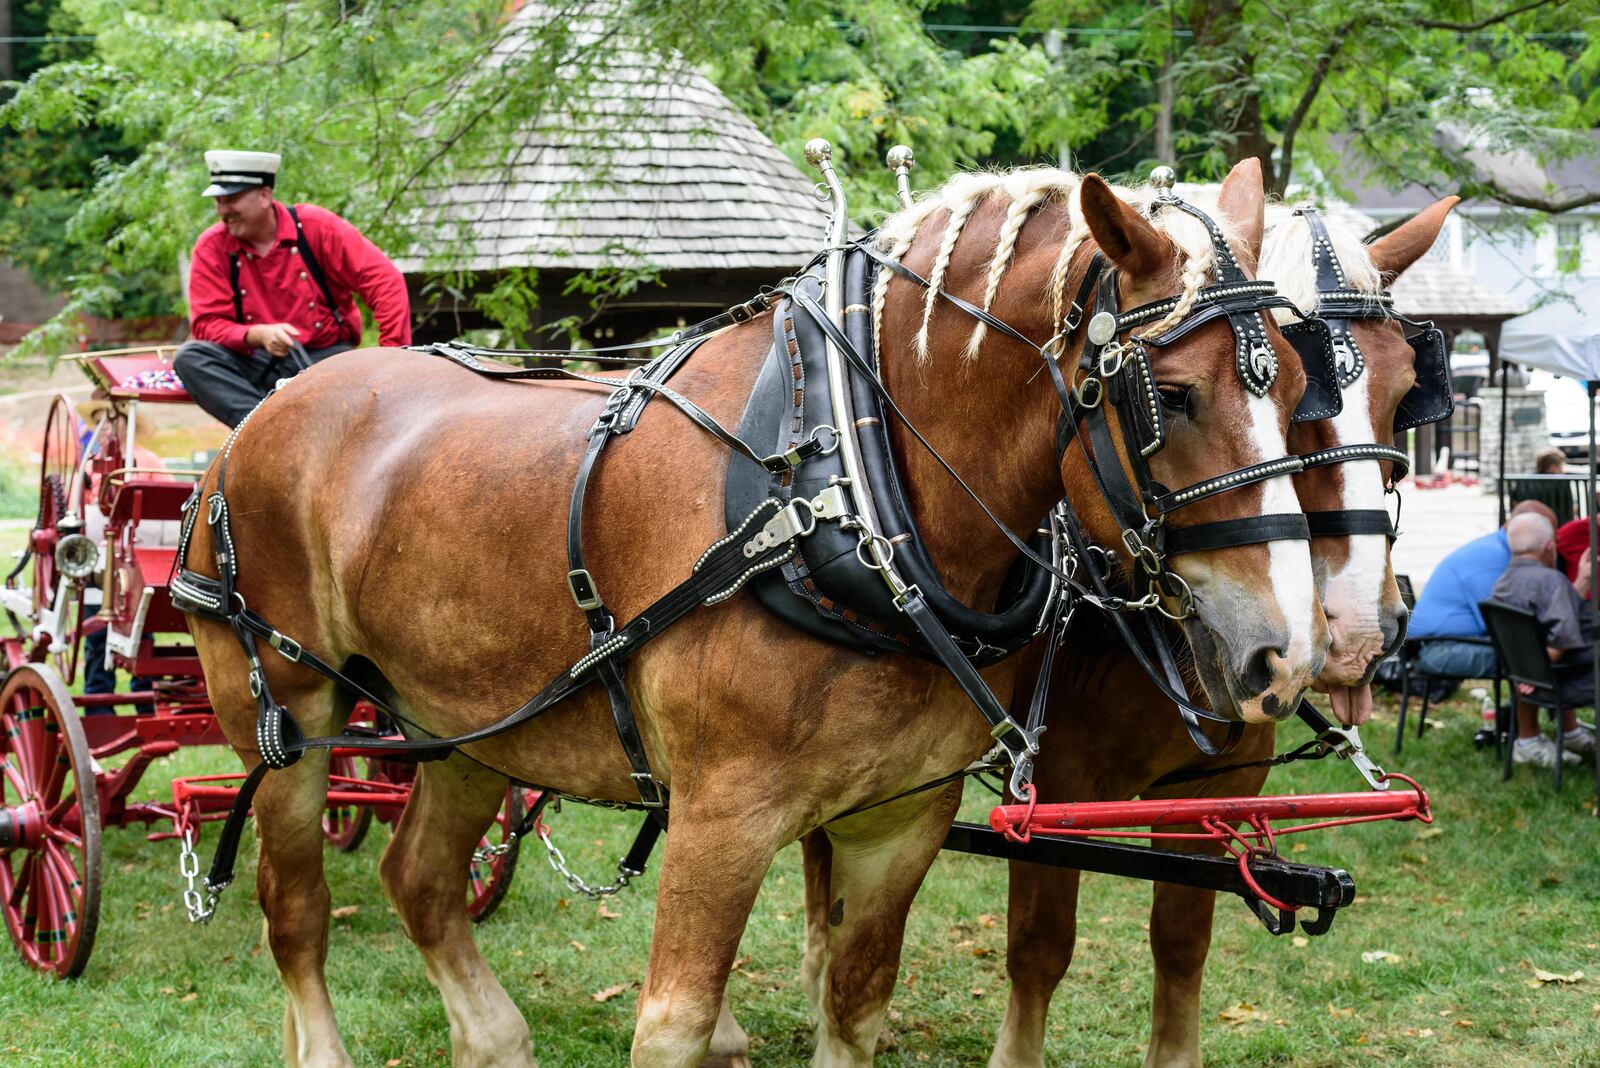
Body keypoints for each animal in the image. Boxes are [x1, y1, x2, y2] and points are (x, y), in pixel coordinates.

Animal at [181, 154, 1318, 1061]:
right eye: (1172, 397)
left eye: (1303, 382)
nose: (1285, 657)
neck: (845, 485)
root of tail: (275, 405)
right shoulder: (719, 820)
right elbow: (675, 1025)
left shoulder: (896, 822)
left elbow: (853, 1007)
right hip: (283, 712)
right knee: (297, 909)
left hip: (465, 721)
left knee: (419, 878)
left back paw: (493, 1039)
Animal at [979, 198, 1459, 1068]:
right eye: (1310, 401)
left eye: (1409, 390)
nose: (1361, 630)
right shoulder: (1054, 787)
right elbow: (1038, 947)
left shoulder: (1211, 788)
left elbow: (1181, 940)